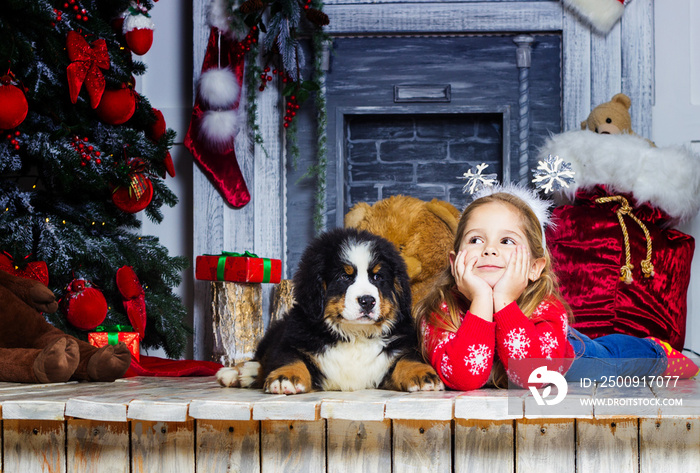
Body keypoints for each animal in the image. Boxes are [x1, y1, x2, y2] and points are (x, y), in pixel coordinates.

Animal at [216, 227, 442, 392]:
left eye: (377, 277)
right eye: (344, 277)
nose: (367, 301)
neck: (354, 335)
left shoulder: (402, 345)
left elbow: (408, 358)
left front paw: (422, 374)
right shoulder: (293, 339)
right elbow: (288, 357)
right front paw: (285, 377)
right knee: (262, 357)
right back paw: (237, 373)